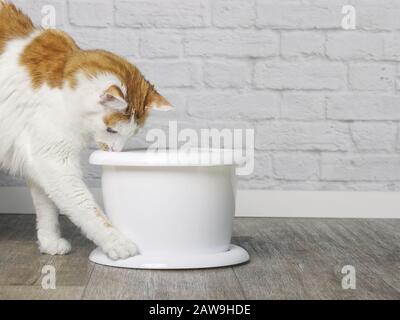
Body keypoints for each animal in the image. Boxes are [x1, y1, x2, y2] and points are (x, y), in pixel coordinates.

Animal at [0, 1, 172, 260]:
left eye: (132, 134)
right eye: (111, 130)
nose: (115, 151)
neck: (62, 80)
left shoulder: (36, 156)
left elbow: (46, 207)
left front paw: (50, 242)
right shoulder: (54, 160)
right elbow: (86, 207)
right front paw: (117, 242)